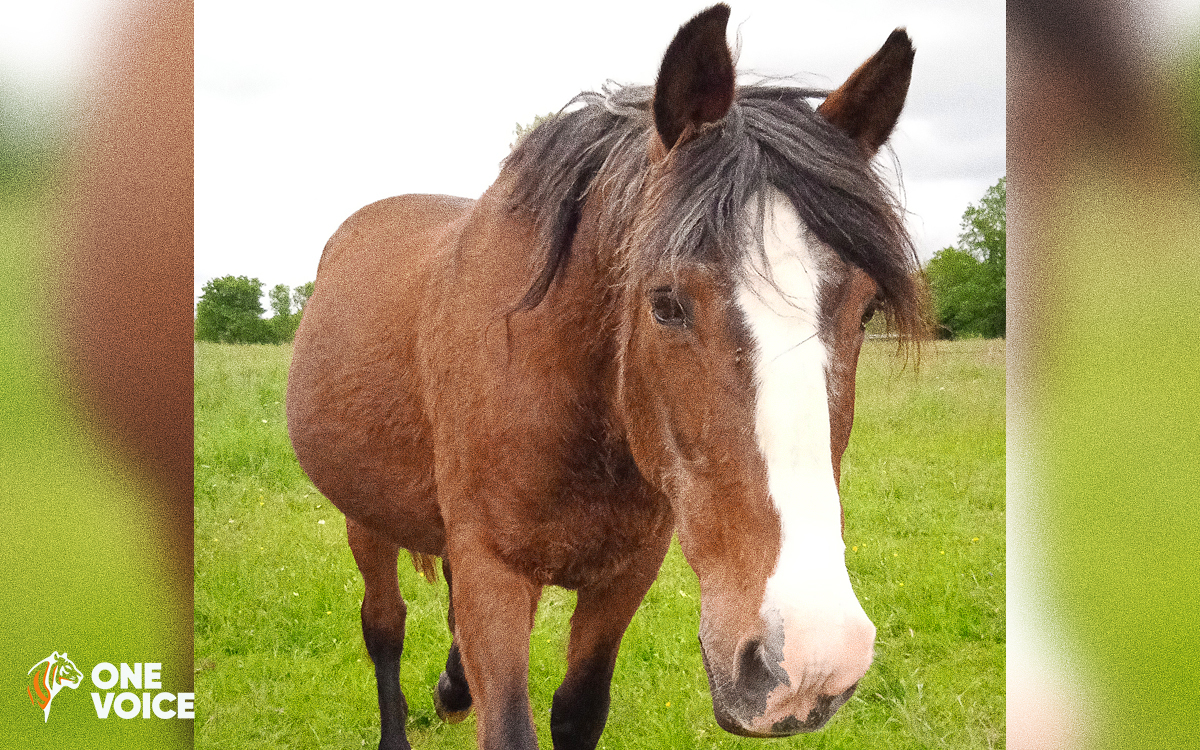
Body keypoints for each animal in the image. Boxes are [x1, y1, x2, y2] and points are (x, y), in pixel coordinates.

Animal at [286, 5, 925, 749]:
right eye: (666, 302)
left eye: (867, 308)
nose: (810, 666)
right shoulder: (493, 573)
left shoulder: (626, 574)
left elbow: (578, 709)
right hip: (363, 516)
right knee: (384, 628)